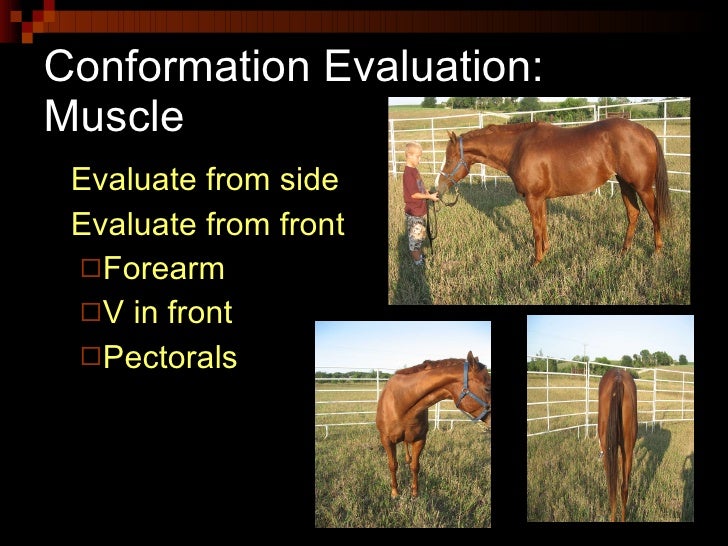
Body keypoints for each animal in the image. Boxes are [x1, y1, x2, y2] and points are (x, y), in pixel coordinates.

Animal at [375, 350, 491, 499]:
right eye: (487, 388)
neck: (401, 402)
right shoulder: (386, 440)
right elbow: (392, 465)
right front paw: (395, 492)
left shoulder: (420, 439)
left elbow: (415, 466)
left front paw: (415, 493)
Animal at [436, 118, 672, 266]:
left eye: (450, 158)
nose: (437, 188)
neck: (518, 147)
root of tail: (645, 131)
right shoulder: (540, 199)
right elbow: (543, 225)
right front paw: (545, 252)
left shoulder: (532, 198)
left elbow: (536, 229)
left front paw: (536, 261)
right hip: (624, 184)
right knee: (633, 214)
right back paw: (624, 251)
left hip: (642, 188)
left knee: (654, 215)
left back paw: (657, 251)